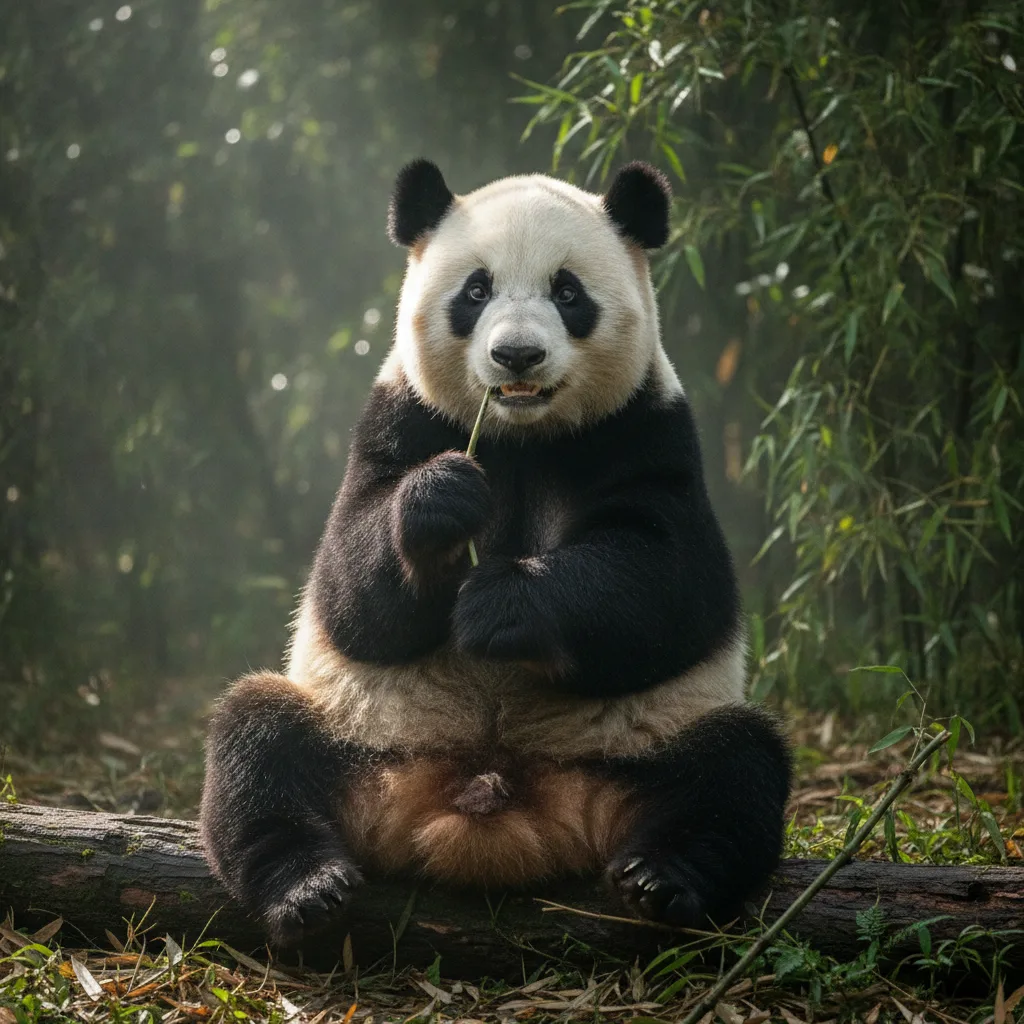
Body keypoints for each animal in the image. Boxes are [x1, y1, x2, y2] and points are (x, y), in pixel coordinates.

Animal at [200, 158, 792, 947]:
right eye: (475, 291)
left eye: (568, 293)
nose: (517, 354)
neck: (520, 435)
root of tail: (490, 808)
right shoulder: (401, 416)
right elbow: (348, 590)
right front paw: (440, 502)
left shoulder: (647, 427)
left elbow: (670, 586)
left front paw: (503, 602)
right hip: (360, 734)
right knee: (257, 742)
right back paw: (307, 887)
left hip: (638, 748)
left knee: (735, 769)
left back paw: (662, 880)